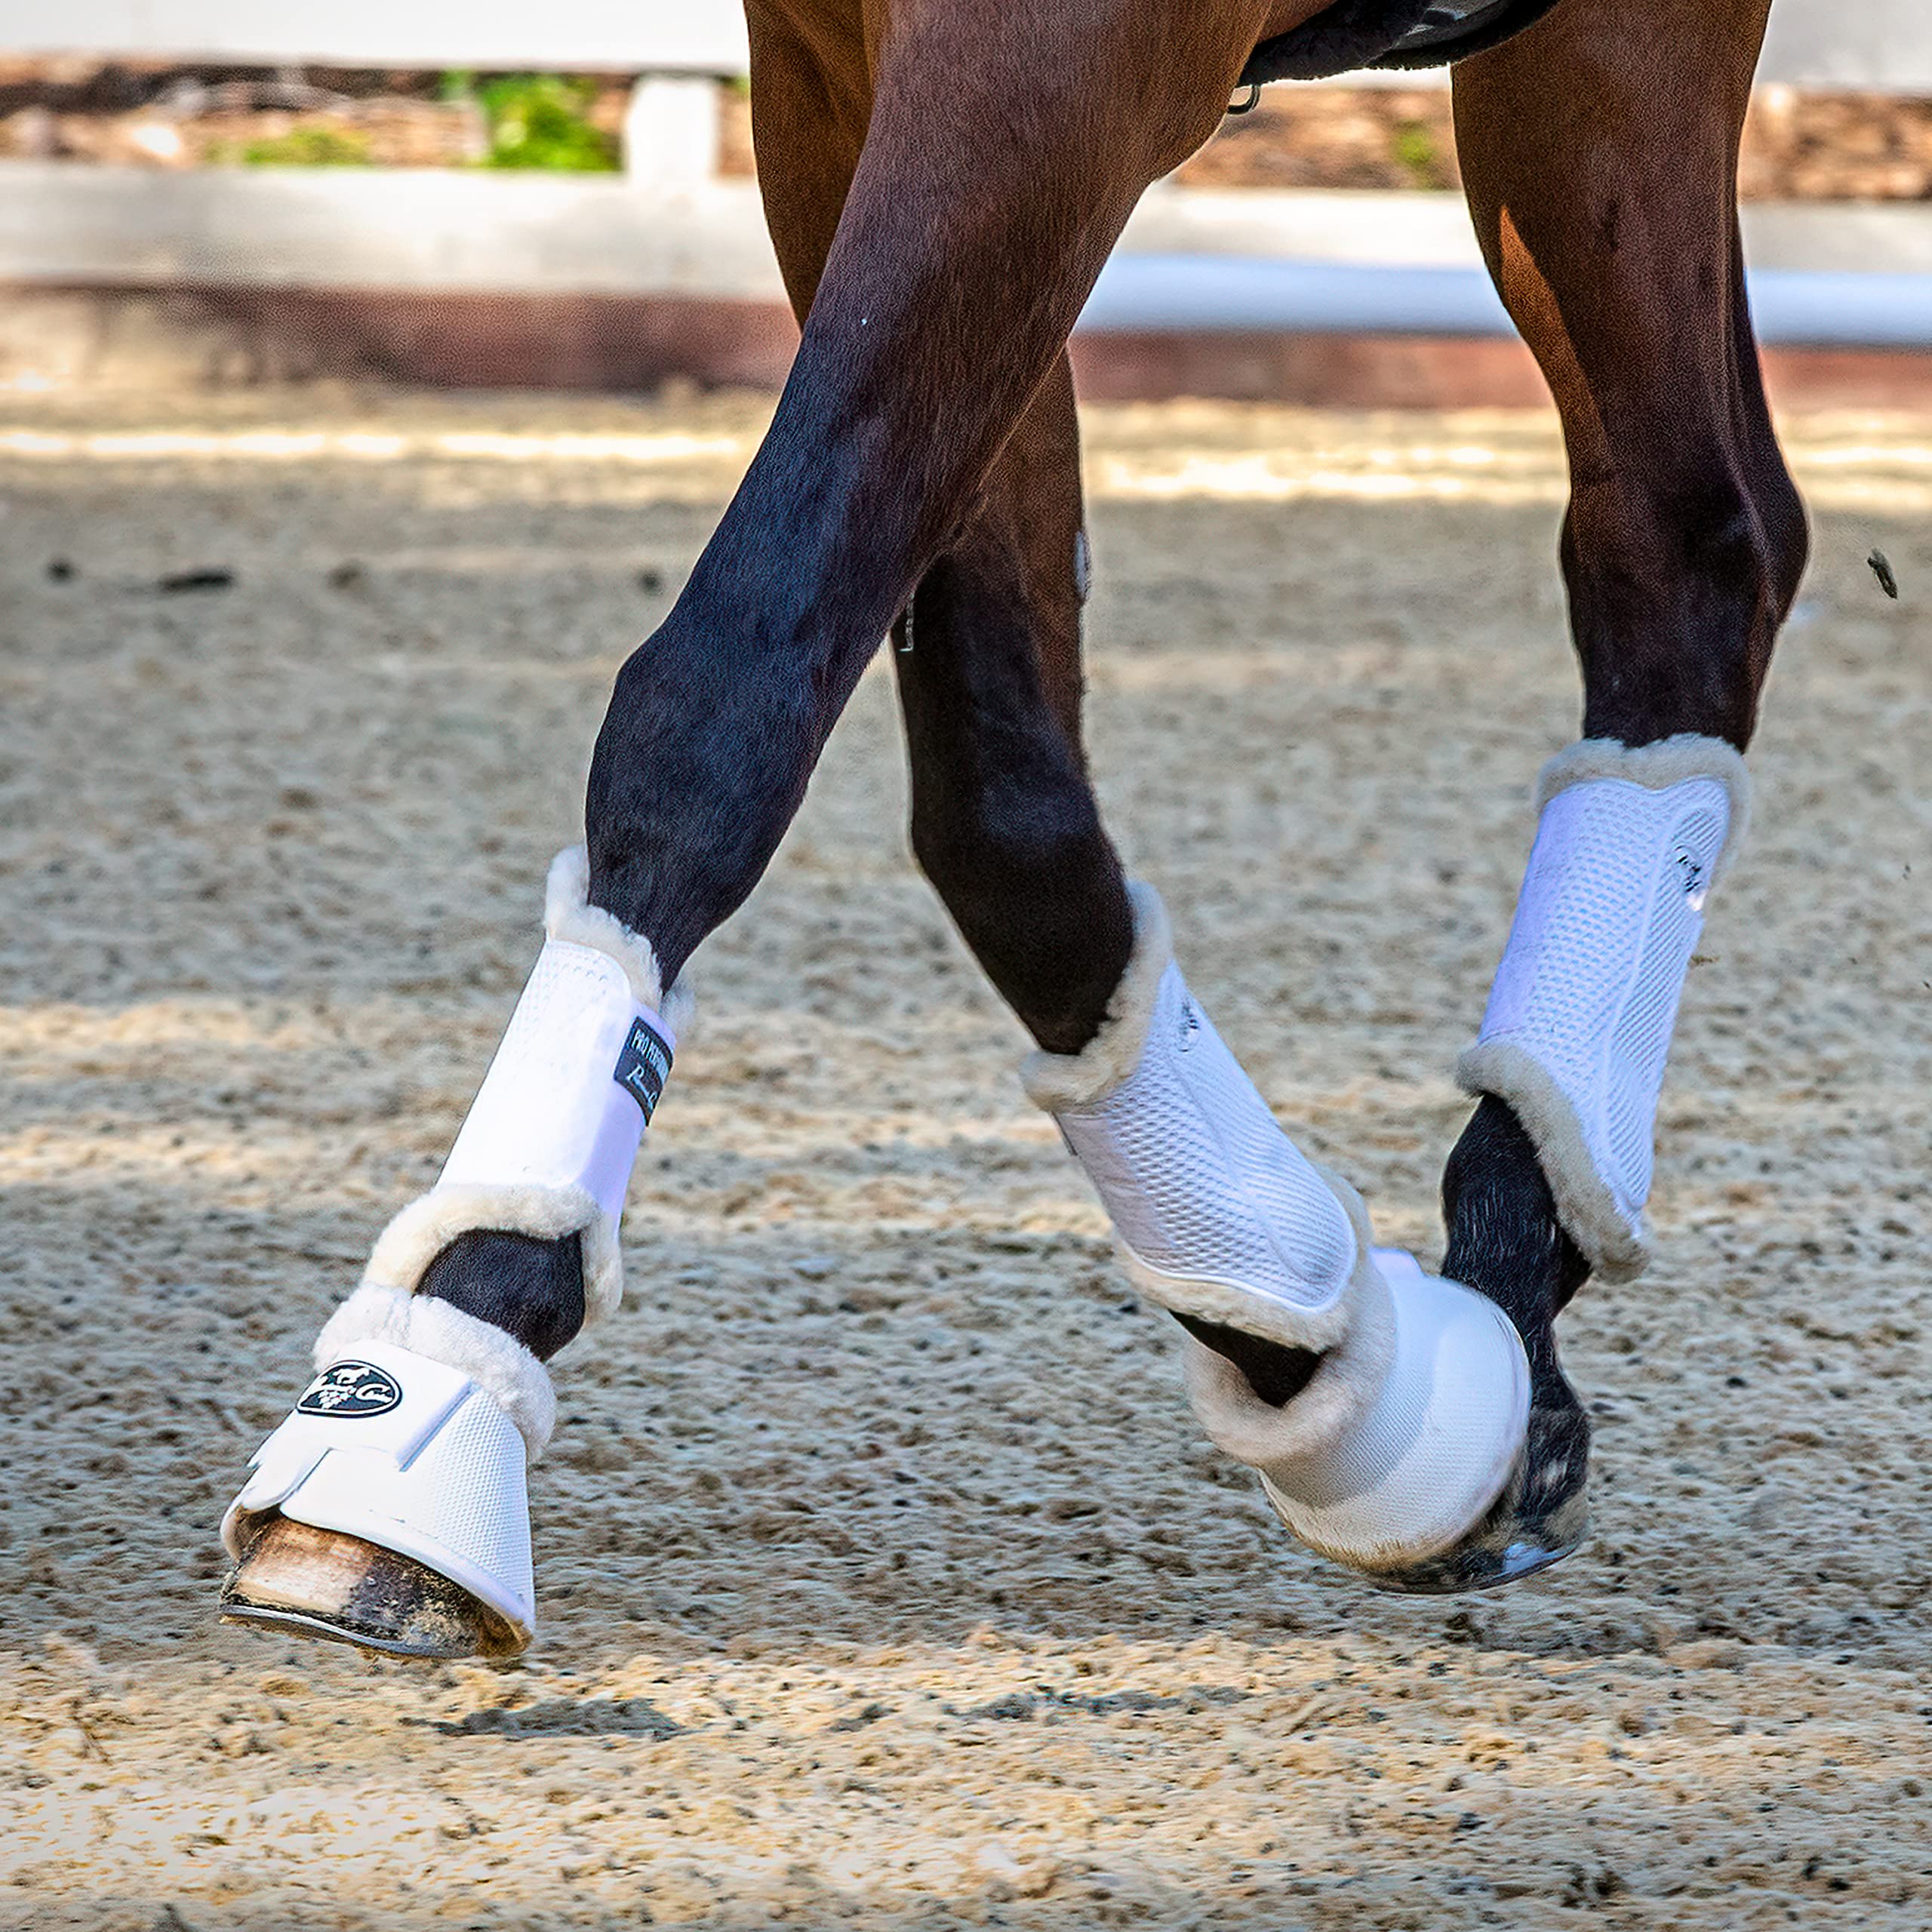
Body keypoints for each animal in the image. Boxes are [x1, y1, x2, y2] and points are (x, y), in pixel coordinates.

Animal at [218, 0, 1806, 1658]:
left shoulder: (1052, 64)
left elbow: (735, 670)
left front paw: (435, 1383)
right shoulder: (832, 78)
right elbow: (997, 799)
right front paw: (1305, 1326)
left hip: (1620, 56)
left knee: (1683, 544)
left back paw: (1513, 1253)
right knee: (1710, 532)